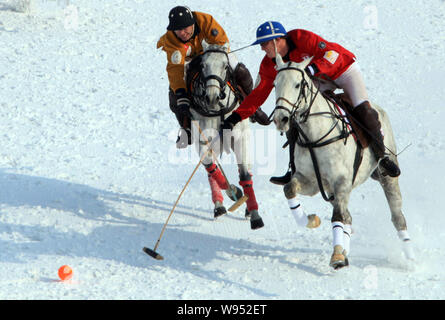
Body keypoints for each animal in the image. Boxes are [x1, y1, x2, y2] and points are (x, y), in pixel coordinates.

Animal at [185, 42, 264, 230]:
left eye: (225, 66)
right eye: (203, 65)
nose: (212, 97)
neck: (216, 110)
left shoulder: (240, 138)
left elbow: (245, 175)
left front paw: (255, 214)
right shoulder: (203, 141)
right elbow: (211, 168)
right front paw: (233, 191)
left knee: (247, 168)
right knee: (211, 170)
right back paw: (220, 205)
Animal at [272, 53, 414, 268]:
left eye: (297, 85)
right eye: (275, 84)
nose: (281, 119)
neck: (315, 135)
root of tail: (379, 108)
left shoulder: (341, 182)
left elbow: (338, 215)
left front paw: (337, 257)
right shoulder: (311, 180)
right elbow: (289, 189)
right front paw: (310, 221)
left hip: (387, 177)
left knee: (397, 216)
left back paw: (410, 258)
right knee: (348, 217)